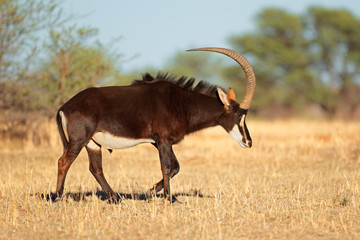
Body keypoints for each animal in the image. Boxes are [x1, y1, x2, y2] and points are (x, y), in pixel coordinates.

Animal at [54, 47, 256, 203]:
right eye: (239, 114)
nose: (248, 142)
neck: (182, 104)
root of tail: (65, 107)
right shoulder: (163, 140)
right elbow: (166, 166)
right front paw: (169, 198)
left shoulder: (161, 142)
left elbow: (176, 167)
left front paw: (150, 192)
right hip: (79, 140)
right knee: (64, 161)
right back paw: (58, 197)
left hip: (93, 143)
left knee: (96, 168)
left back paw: (115, 198)